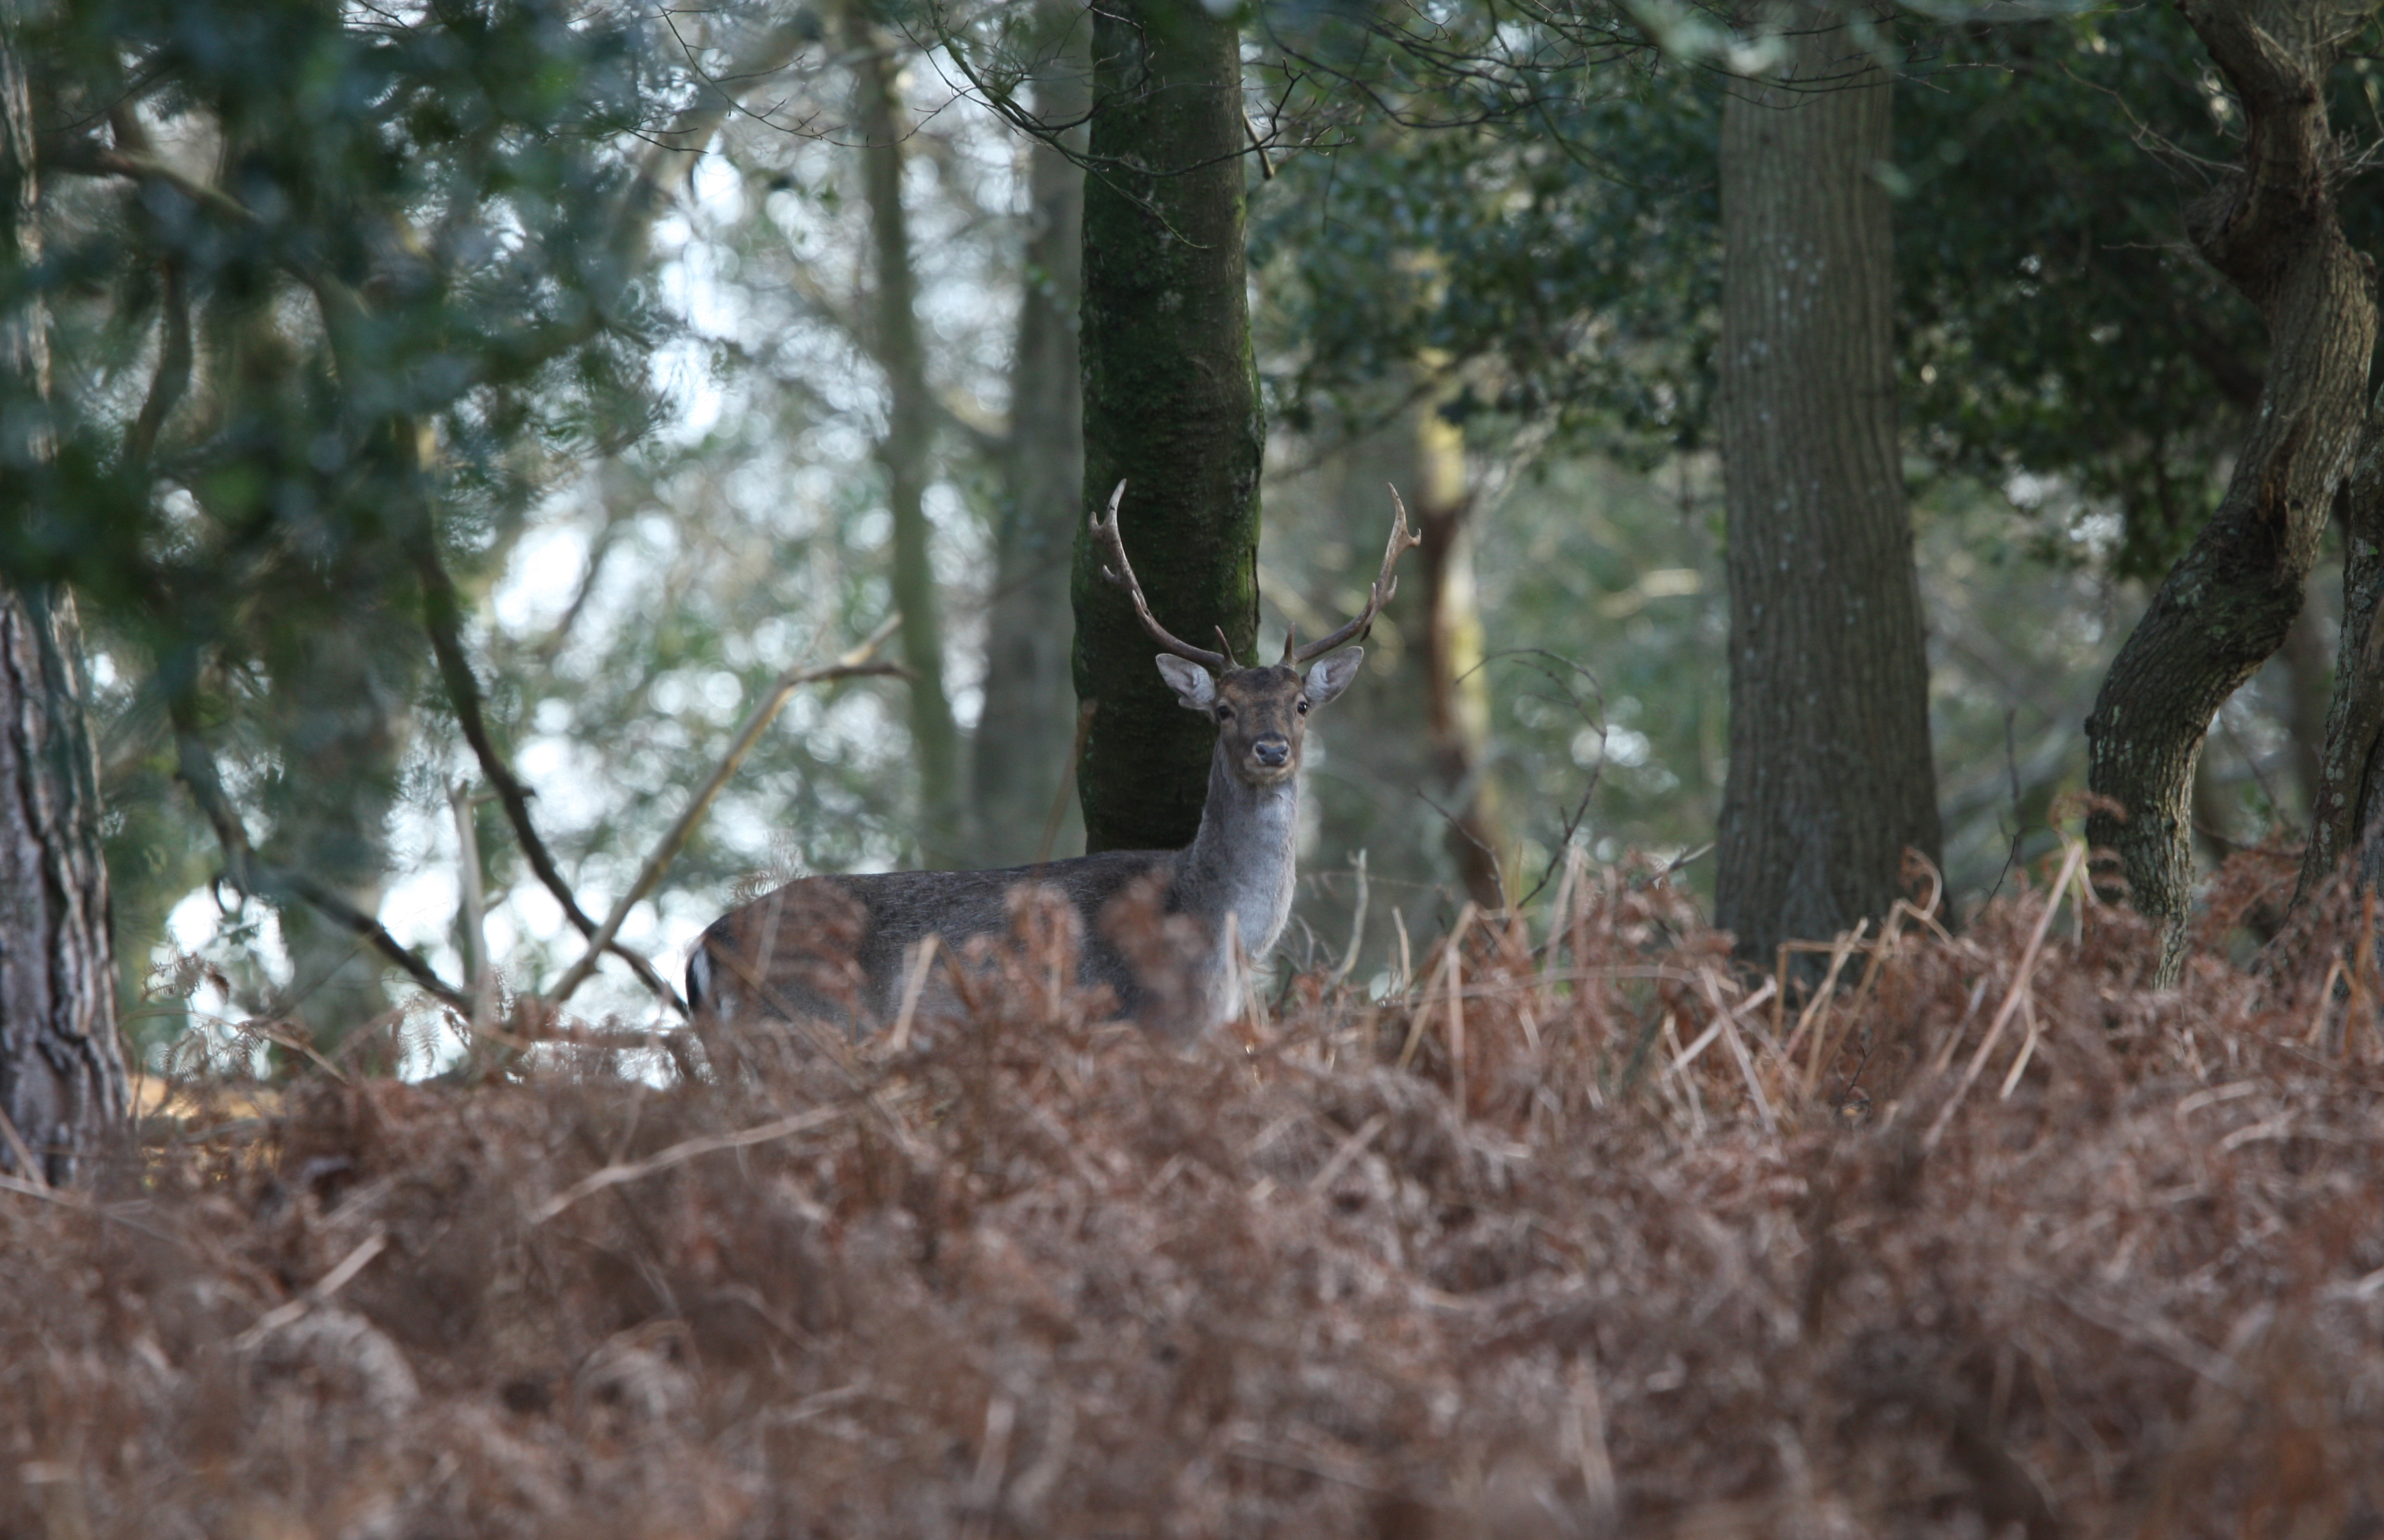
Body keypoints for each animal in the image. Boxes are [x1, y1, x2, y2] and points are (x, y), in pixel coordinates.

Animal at [682, 481, 1402, 1044]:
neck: (1220, 934)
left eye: (1301, 704)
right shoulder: (1146, 1029)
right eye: (1222, 710)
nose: (1270, 749)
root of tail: (701, 952)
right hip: (804, 1031)